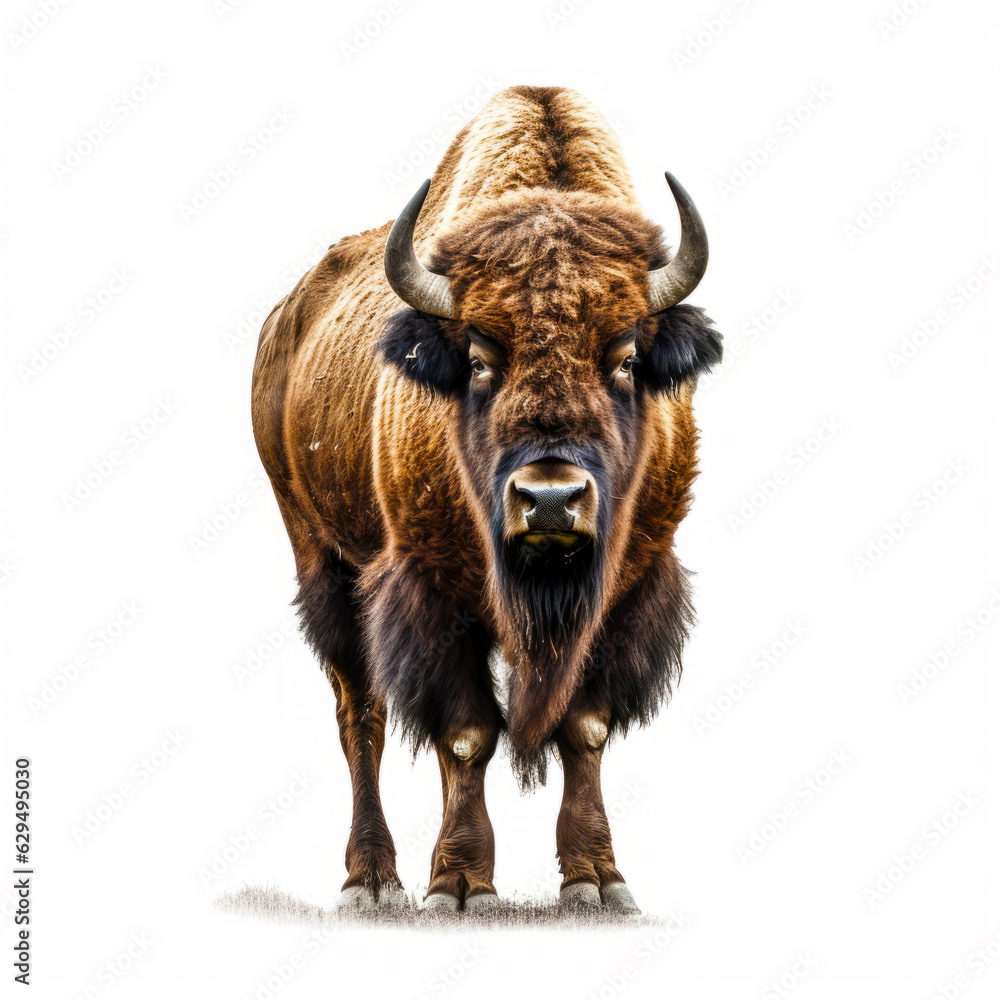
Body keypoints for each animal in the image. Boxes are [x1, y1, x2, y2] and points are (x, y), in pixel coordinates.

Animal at [250, 84, 720, 916]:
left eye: (626, 357)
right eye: (476, 358)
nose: (552, 501)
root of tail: (286, 318)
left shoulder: (626, 587)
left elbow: (584, 726)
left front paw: (598, 881)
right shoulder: (432, 589)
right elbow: (467, 732)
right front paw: (460, 889)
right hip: (322, 559)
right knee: (361, 714)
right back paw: (373, 882)